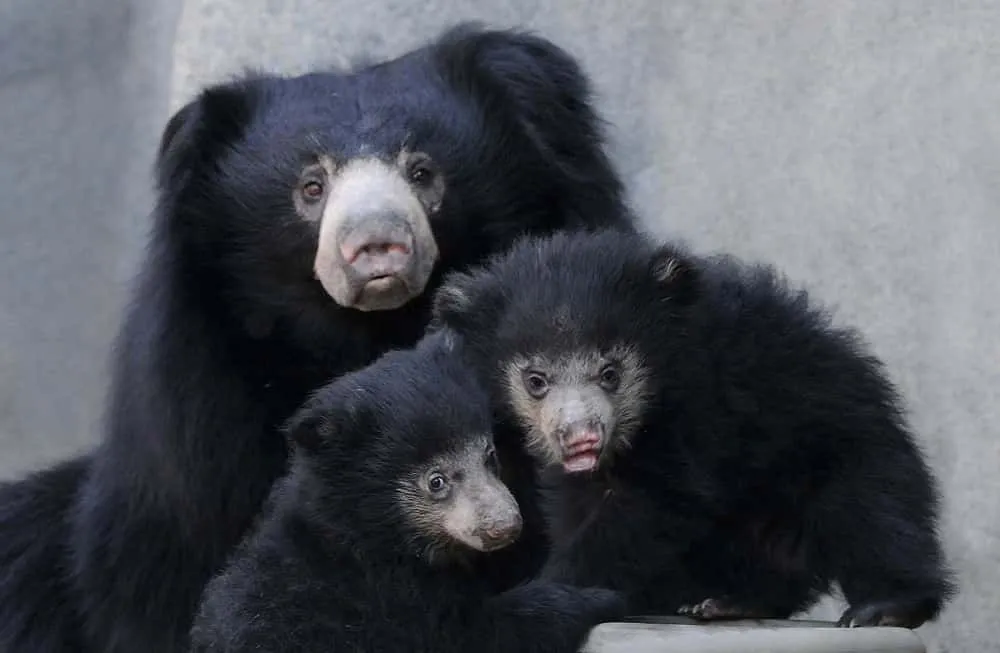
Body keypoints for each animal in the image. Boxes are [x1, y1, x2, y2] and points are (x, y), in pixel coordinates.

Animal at [187, 329, 626, 653]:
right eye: (436, 482)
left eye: (489, 456)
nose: (505, 526)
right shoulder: (382, 598)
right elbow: (472, 633)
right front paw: (597, 598)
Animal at [430, 227, 956, 630]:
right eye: (536, 380)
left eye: (610, 373)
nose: (582, 436)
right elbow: (581, 502)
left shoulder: (702, 405)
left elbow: (657, 501)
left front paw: (557, 588)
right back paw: (730, 601)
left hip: (844, 443)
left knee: (873, 512)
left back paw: (885, 607)